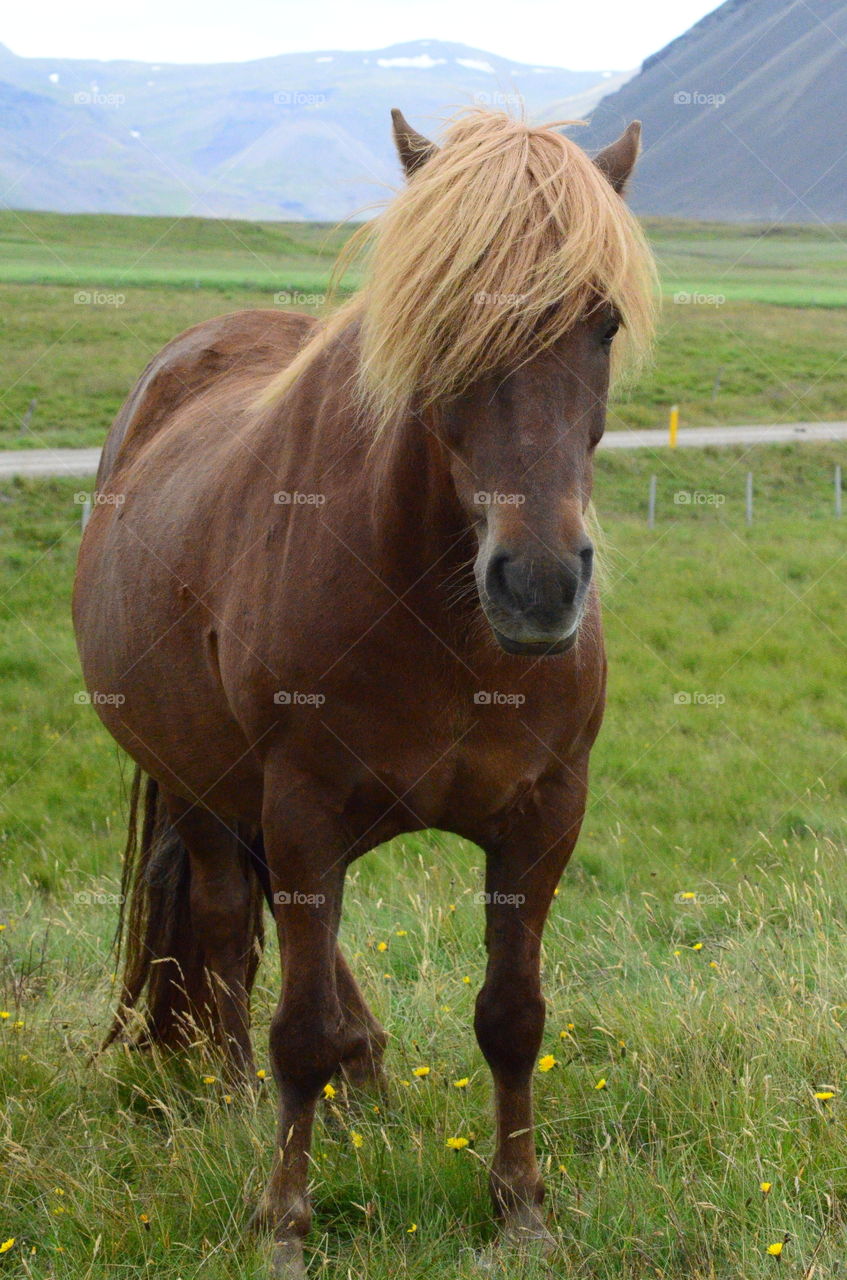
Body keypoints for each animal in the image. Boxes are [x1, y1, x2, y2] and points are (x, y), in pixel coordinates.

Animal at [72, 107, 655, 1269]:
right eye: (442, 321)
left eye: (602, 320)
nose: (537, 584)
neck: (443, 624)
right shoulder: (302, 807)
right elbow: (294, 1024)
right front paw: (283, 1223)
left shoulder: (545, 817)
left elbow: (513, 1015)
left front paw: (519, 1209)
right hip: (207, 791)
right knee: (226, 932)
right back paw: (236, 1096)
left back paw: (367, 1078)